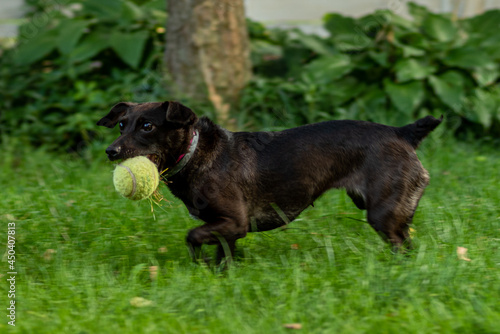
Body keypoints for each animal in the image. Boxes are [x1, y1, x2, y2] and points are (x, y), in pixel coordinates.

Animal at [97, 100, 442, 262]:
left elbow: (192, 237)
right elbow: (223, 254)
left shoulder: (233, 223)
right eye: (122, 125)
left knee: (403, 245)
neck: (195, 154)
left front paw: (200, 264)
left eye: (147, 126)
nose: (110, 151)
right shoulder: (225, 229)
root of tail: (402, 132)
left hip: (384, 213)